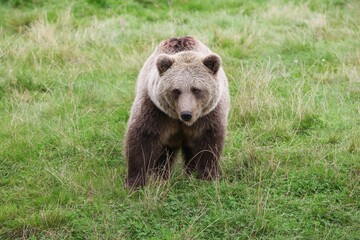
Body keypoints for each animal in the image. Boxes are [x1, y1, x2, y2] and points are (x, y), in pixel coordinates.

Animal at [125, 36, 229, 189]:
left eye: (196, 89)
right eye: (176, 90)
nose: (186, 114)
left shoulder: (208, 116)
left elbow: (208, 146)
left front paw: (208, 177)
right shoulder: (155, 111)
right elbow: (142, 140)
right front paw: (134, 183)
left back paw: (189, 174)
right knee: (164, 155)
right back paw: (160, 176)